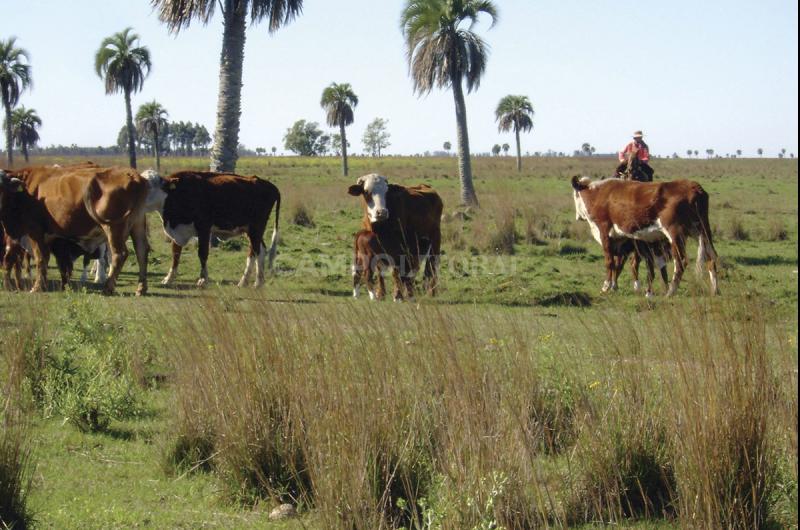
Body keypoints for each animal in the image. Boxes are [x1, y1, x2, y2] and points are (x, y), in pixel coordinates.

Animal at [0, 166, 155, 292]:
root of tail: (132, 174)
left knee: (120, 254)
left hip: (113, 228)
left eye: (2, 186)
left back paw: (108, 287)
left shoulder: (35, 232)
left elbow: (41, 259)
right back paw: (141, 288)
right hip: (137, 224)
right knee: (141, 251)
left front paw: (37, 287)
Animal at [144, 169, 282, 286]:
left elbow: (202, 253)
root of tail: (267, 184)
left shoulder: (204, 228)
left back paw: (251, 282)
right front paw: (169, 278)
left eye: (150, 186)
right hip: (251, 230)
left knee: (255, 251)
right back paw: (251, 281)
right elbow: (175, 255)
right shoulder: (177, 232)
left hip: (256, 228)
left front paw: (203, 279)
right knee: (259, 250)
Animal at [346, 172, 440, 300]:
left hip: (435, 239)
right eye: (366, 191)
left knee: (432, 265)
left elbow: (397, 272)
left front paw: (398, 295)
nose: (381, 212)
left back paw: (431, 292)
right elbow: (383, 271)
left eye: (386, 192)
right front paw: (382, 294)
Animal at [568, 175, 720, 294]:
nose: (577, 216)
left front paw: (606, 287)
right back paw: (715, 290)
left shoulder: (604, 231)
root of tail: (694, 187)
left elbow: (609, 262)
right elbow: (618, 265)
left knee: (681, 261)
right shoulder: (620, 239)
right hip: (703, 231)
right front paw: (614, 286)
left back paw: (671, 291)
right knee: (711, 257)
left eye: (575, 196)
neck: (598, 194)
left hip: (676, 233)